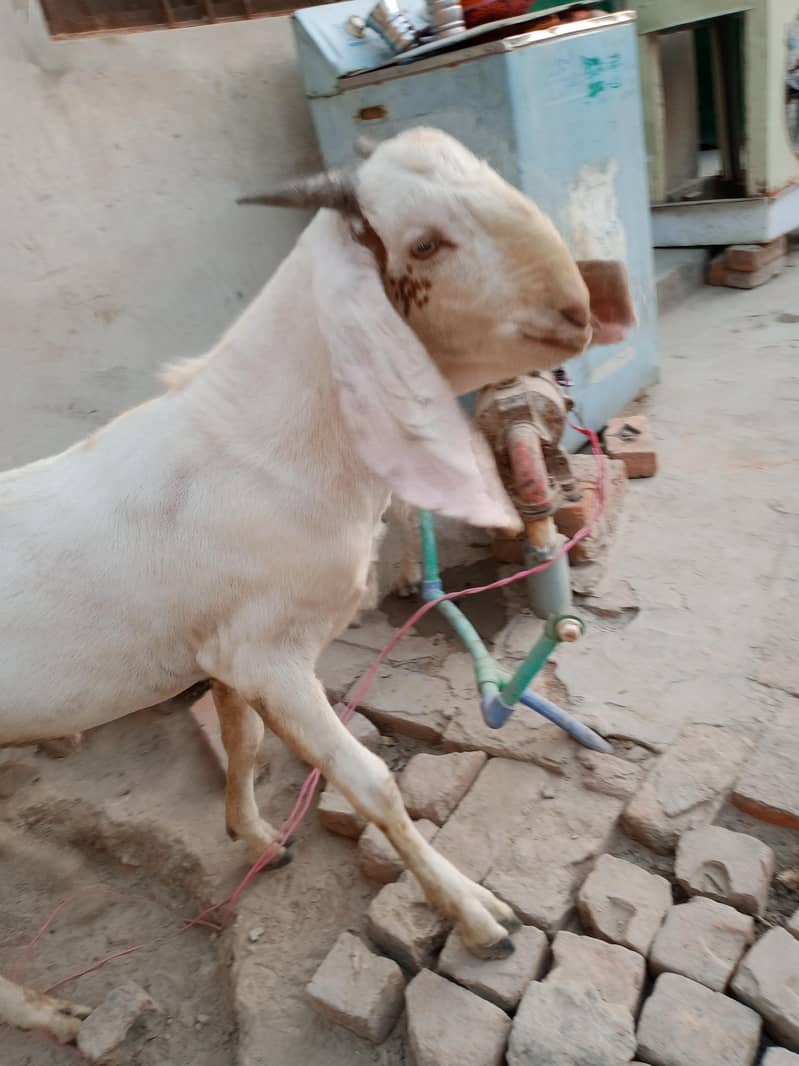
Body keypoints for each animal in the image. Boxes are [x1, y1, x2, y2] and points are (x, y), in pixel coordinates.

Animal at [0, 128, 634, 1042]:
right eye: (422, 243)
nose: (580, 313)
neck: (260, 441)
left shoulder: (225, 651)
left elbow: (245, 745)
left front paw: (257, 837)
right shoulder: (268, 656)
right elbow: (370, 781)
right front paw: (478, 919)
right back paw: (52, 1013)